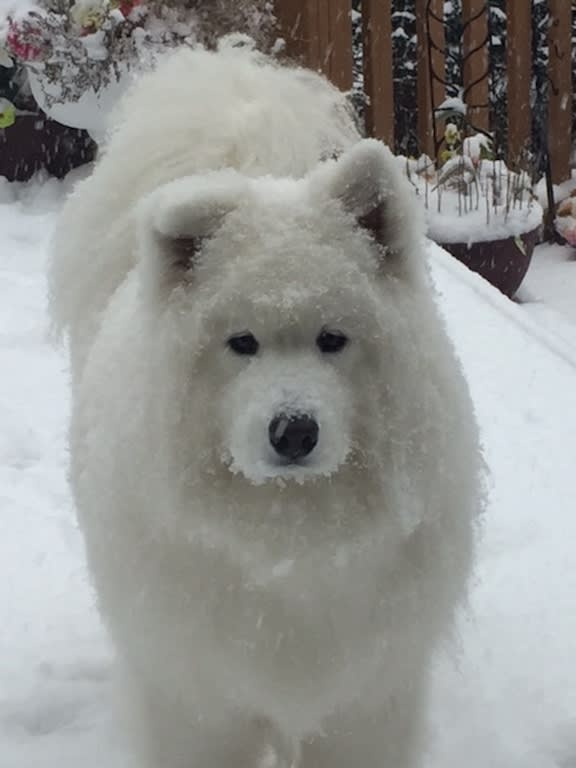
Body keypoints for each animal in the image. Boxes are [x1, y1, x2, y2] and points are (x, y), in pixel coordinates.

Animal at [50, 42, 482, 768]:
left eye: (333, 339)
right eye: (242, 343)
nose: (294, 431)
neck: (290, 539)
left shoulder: (363, 707)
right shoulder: (199, 707)